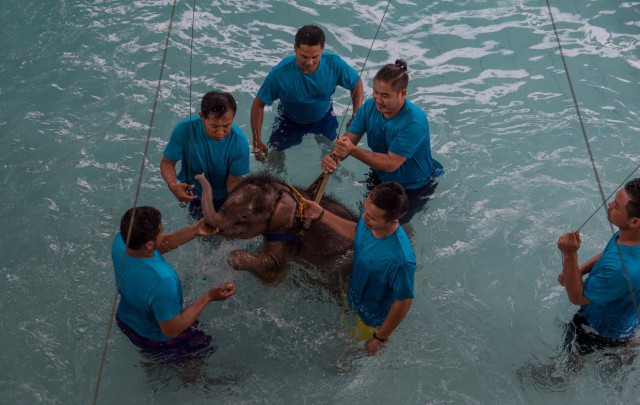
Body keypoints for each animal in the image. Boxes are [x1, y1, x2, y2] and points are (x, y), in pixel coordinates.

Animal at [195, 172, 356, 282]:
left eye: (246, 215)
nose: (199, 175)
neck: (290, 194)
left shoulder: (290, 237)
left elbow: (273, 269)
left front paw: (232, 257)